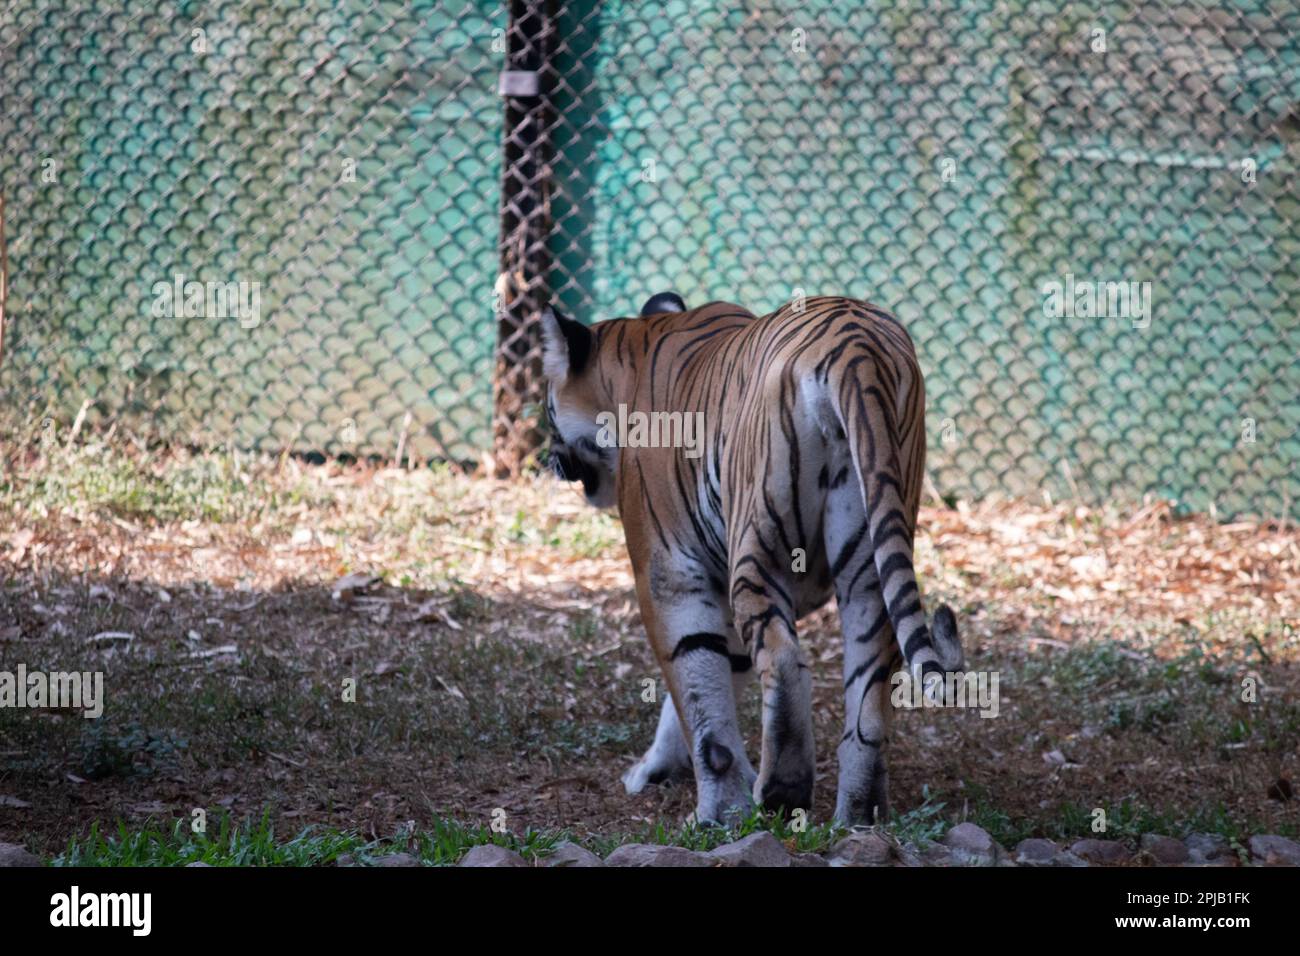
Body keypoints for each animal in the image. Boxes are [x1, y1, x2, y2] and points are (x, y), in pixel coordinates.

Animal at [540, 293, 967, 832]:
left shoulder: (670, 573)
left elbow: (696, 692)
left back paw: (783, 788)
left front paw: (718, 810)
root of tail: (858, 345)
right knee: (868, 687)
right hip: (869, 558)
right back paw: (857, 814)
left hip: (761, 540)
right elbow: (709, 680)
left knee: (785, 661)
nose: (549, 458)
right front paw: (660, 770)